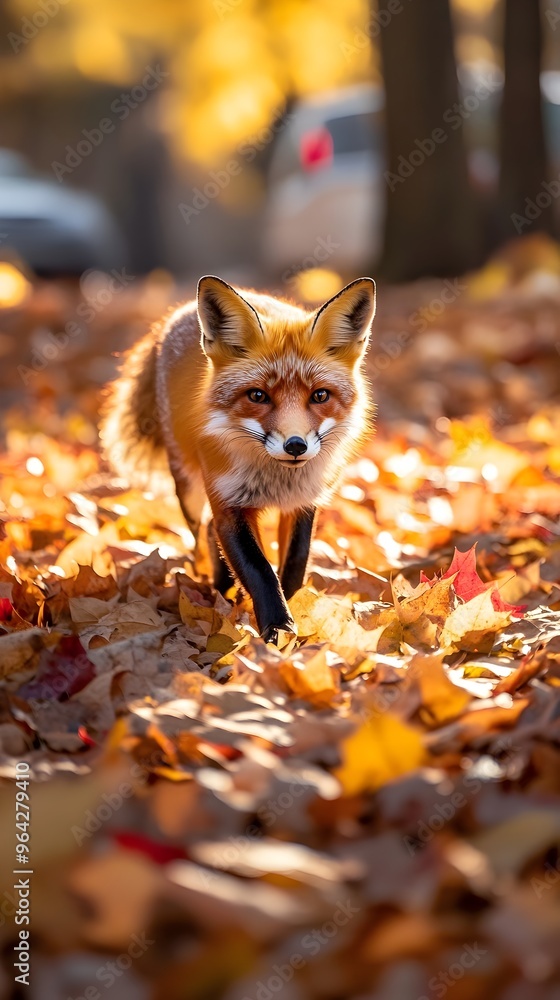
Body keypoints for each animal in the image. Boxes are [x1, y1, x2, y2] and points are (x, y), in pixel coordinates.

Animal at [100, 275, 376, 644]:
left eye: (320, 396)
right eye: (258, 395)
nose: (296, 445)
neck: (275, 481)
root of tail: (175, 315)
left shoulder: (303, 501)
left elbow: (294, 564)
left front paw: (292, 615)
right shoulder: (229, 504)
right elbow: (260, 570)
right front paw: (277, 627)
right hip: (190, 490)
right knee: (203, 533)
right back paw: (220, 590)